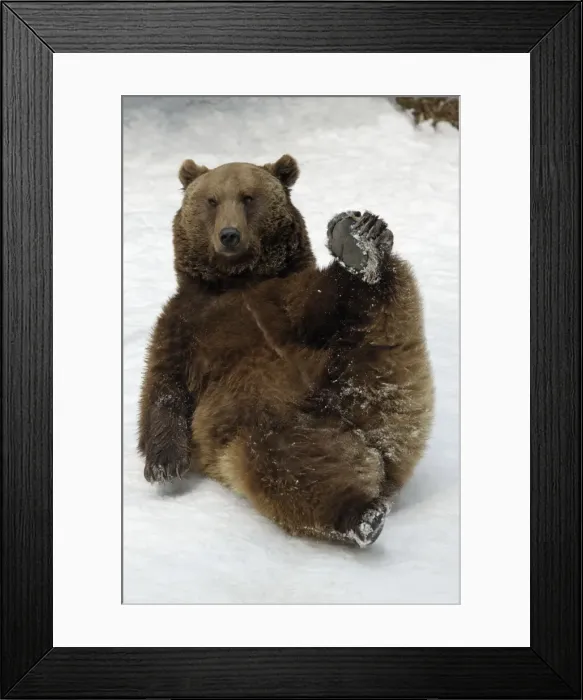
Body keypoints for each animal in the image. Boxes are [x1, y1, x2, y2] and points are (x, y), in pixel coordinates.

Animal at [137, 154, 434, 547]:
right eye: (212, 200)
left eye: (248, 197)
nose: (229, 235)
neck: (236, 281)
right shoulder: (184, 323)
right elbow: (163, 384)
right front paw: (164, 464)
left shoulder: (283, 300)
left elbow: (314, 307)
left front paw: (359, 246)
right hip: (264, 421)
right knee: (284, 467)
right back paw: (359, 514)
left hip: (366, 361)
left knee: (375, 297)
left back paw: (363, 243)